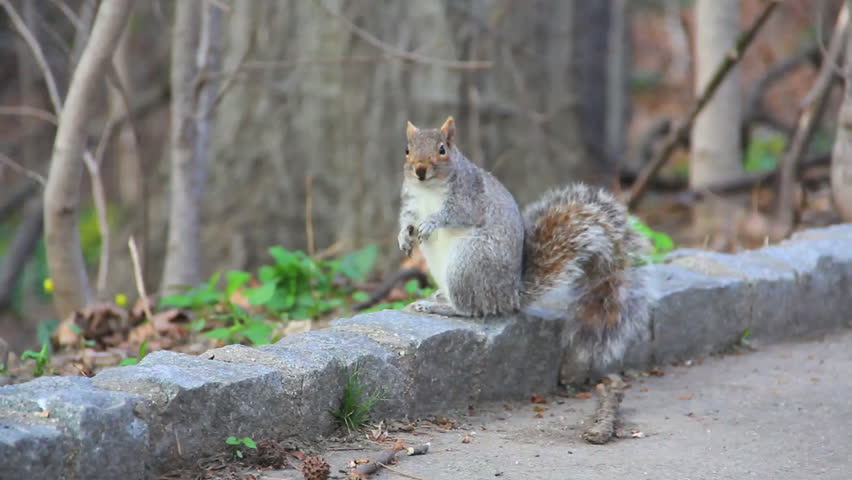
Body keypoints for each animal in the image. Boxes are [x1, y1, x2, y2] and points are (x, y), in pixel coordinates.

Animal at [398, 116, 650, 383]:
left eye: (442, 149)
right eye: (407, 150)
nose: (420, 170)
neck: (428, 189)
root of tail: (510, 295)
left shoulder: (469, 197)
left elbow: (457, 214)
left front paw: (431, 222)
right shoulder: (411, 202)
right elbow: (407, 218)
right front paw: (404, 236)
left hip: (468, 264)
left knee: (471, 309)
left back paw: (441, 307)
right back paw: (438, 296)